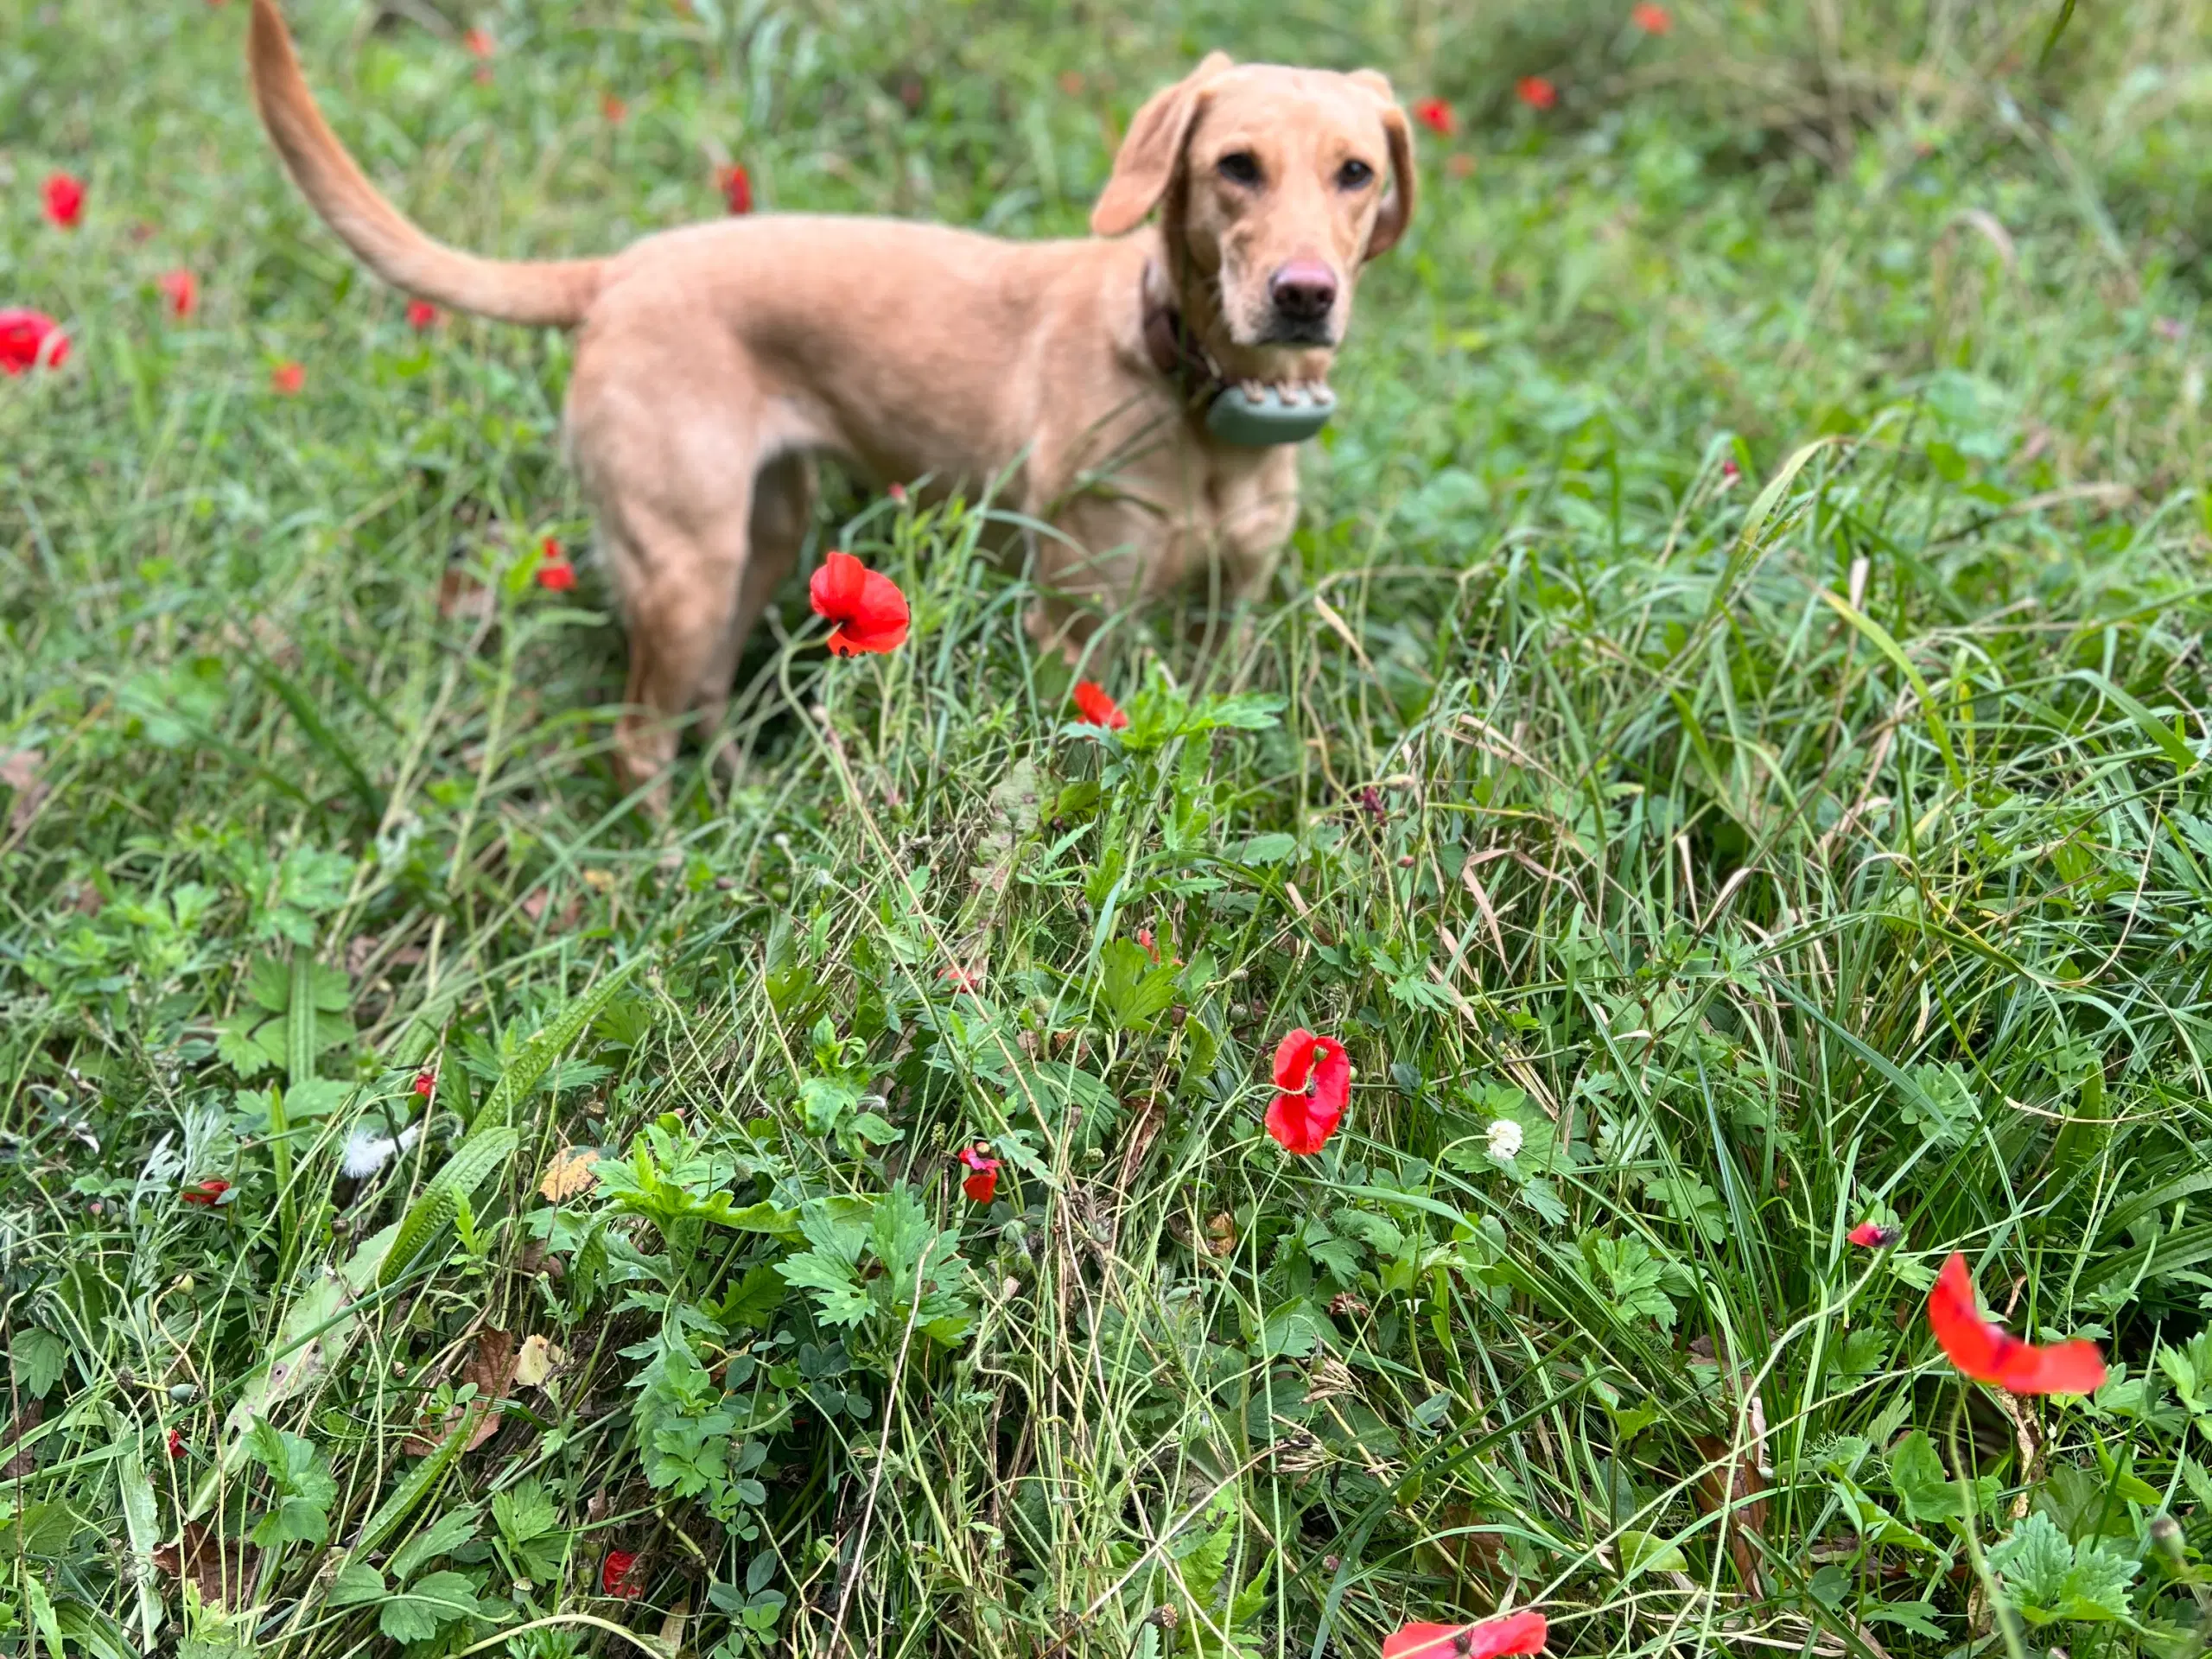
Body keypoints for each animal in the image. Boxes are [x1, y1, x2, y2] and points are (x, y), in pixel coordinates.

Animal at [246, 0, 1415, 787]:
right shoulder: (1072, 626)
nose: (1303, 297)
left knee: (705, 700)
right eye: (1235, 166)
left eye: (1355, 173)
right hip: (685, 567)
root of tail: (621, 269)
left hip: (761, 543)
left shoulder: (1232, 618)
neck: (1205, 400)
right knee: (637, 740)